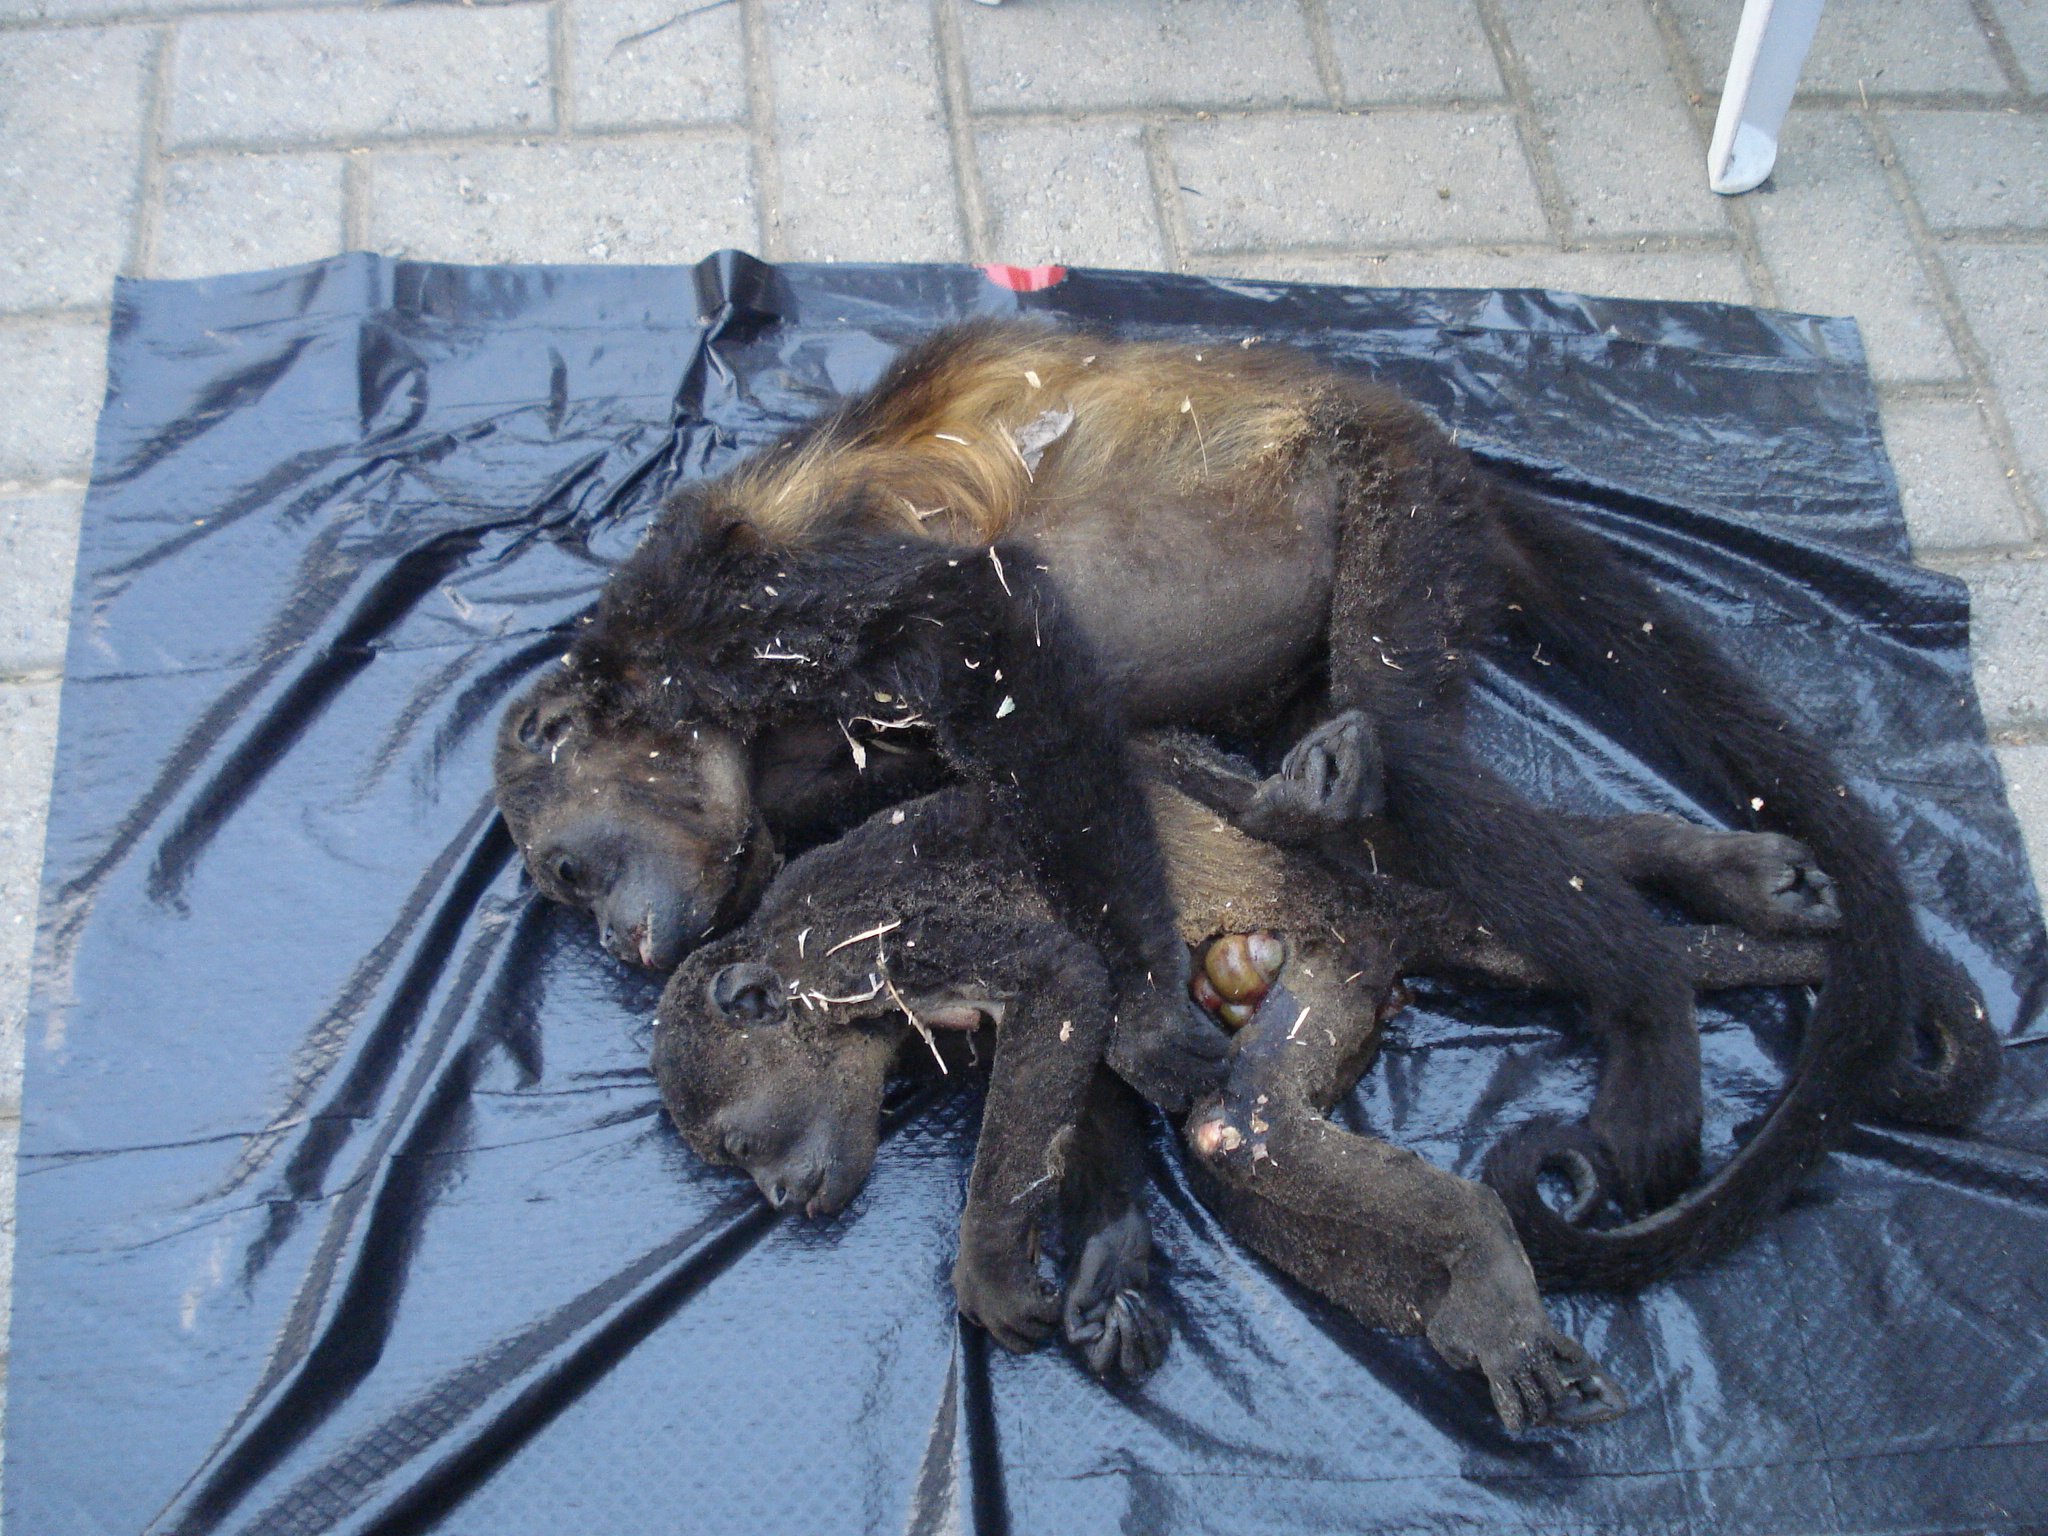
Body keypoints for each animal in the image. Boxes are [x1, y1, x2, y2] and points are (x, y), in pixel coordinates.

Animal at [496, 318, 1998, 1279]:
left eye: (566, 870)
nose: (620, 940)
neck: (723, 725)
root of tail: (1441, 445)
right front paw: (1103, 1232)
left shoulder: (729, 598)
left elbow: (995, 633)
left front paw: (1152, 1019)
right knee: (1374, 793)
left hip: (1397, 501)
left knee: (1404, 744)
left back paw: (1644, 1019)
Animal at [651, 731, 1835, 1430]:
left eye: (740, 1148)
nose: (776, 1197)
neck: (790, 952)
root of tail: (1382, 916)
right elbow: (1091, 1068)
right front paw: (1108, 1276)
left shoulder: (880, 940)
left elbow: (1063, 980)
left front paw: (985, 1268)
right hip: (1350, 960)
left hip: (1360, 896)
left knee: (1245, 1116)